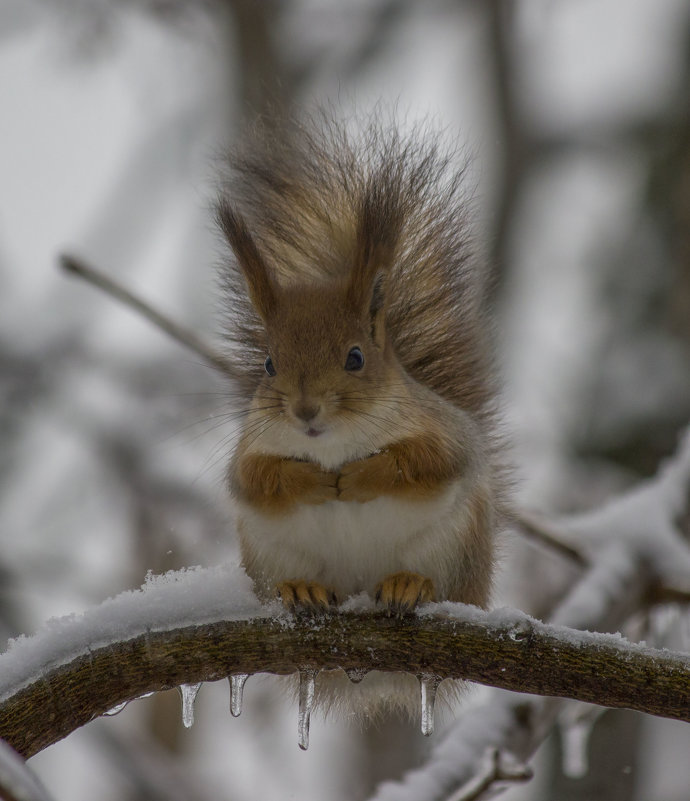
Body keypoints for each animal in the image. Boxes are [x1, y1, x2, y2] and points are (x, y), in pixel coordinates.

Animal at [218, 111, 502, 712]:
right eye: (269, 363)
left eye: (355, 357)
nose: (305, 410)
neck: (332, 444)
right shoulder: (247, 451)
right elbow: (255, 479)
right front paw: (310, 481)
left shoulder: (444, 433)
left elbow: (426, 463)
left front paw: (359, 476)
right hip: (266, 558)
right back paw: (302, 589)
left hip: (457, 549)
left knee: (439, 585)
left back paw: (409, 585)